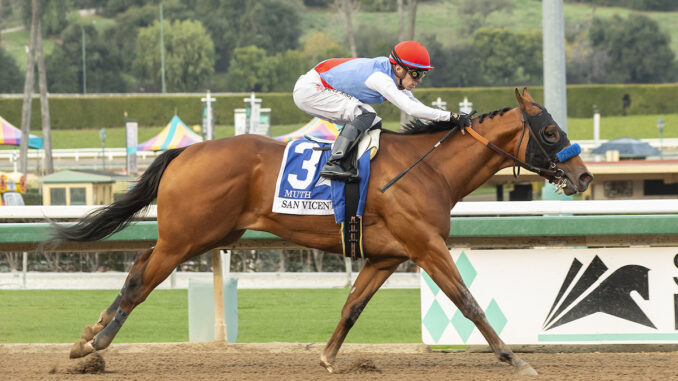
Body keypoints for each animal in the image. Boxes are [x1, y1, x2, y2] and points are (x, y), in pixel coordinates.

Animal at [54, 88, 596, 374]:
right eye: (551, 133)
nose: (584, 177)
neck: (427, 169)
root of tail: (186, 151)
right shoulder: (426, 246)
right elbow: (468, 300)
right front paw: (513, 357)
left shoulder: (387, 255)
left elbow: (352, 306)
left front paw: (329, 357)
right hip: (186, 237)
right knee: (140, 281)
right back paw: (96, 345)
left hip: (203, 237)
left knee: (137, 270)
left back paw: (87, 337)